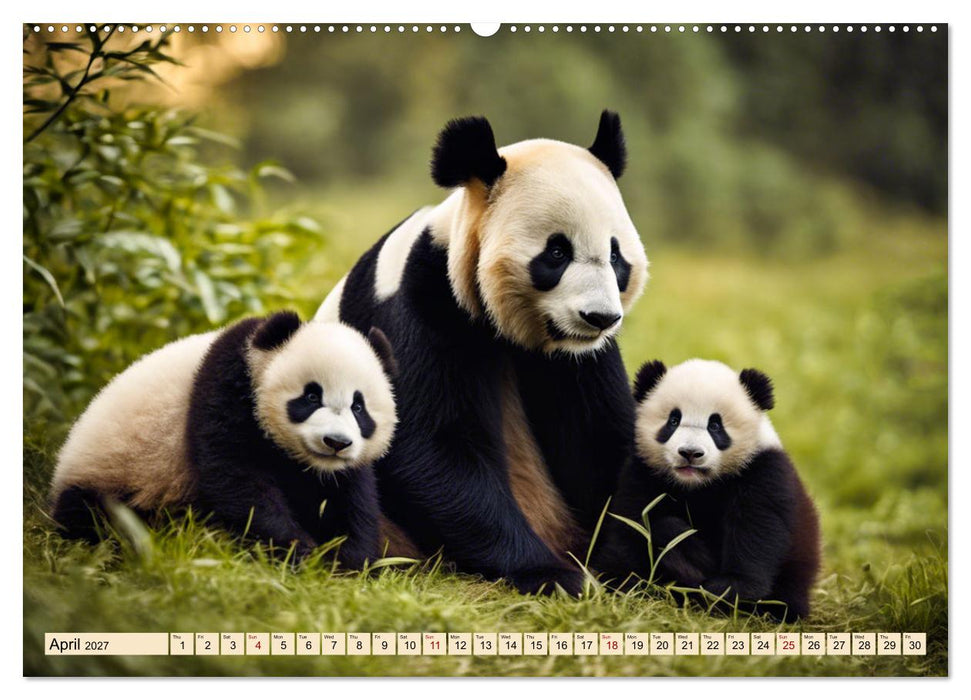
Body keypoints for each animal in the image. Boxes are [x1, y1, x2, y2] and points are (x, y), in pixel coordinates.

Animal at [49, 311, 398, 569]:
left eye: (358, 407)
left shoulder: (337, 470)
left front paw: (346, 561)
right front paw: (299, 553)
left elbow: (350, 499)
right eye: (311, 396)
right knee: (95, 516)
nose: (336, 442)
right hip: (115, 476)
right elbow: (237, 478)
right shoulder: (225, 386)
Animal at [316, 111, 649, 595]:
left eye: (615, 255)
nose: (600, 317)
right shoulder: (420, 303)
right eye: (557, 252)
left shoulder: (581, 360)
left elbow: (604, 440)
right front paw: (555, 575)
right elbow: (433, 448)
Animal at [593, 359, 821, 620]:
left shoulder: (762, 472)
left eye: (715, 425)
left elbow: (757, 530)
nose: (690, 453)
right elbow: (632, 522)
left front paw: (726, 590)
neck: (697, 485)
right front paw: (622, 580)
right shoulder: (644, 472)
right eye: (673, 420)